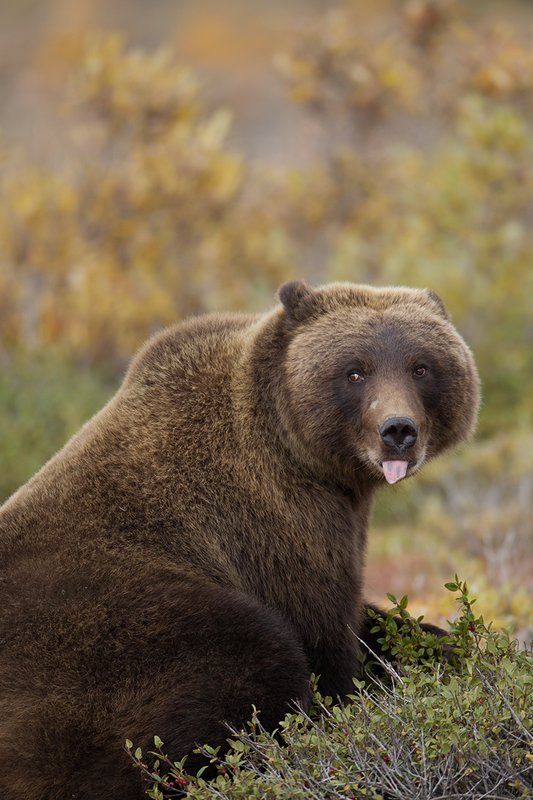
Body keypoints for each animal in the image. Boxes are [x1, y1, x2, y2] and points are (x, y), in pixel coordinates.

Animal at [0, 280, 480, 799]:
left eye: (421, 366)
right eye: (355, 371)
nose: (398, 430)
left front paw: (444, 645)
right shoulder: (280, 525)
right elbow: (326, 633)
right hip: (105, 636)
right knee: (256, 656)